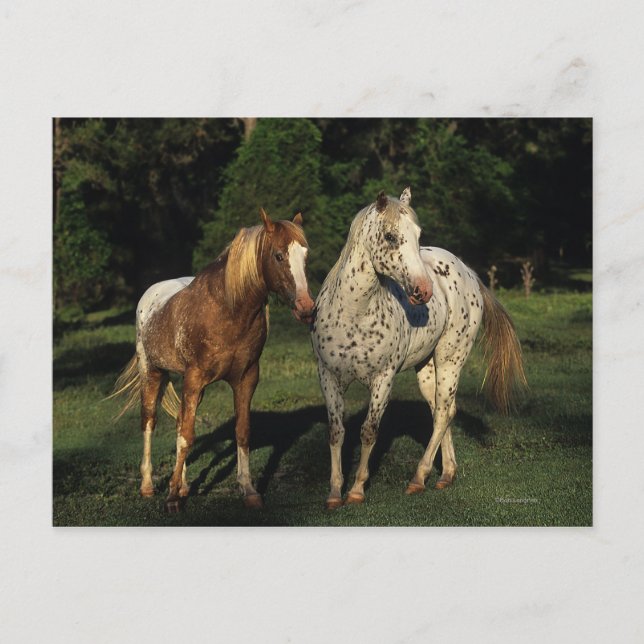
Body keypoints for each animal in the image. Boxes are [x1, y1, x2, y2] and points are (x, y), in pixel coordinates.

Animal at [110, 208, 315, 512]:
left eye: (305, 255)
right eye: (279, 256)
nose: (306, 308)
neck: (228, 310)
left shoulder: (246, 378)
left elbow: (241, 431)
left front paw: (248, 490)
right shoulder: (194, 378)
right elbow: (186, 436)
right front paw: (171, 498)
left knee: (179, 420)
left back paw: (182, 485)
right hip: (152, 372)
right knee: (149, 421)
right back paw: (148, 485)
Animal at [311, 188, 526, 509]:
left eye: (418, 234)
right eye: (390, 236)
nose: (423, 290)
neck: (353, 312)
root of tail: (468, 272)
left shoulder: (383, 380)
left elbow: (369, 431)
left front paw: (357, 489)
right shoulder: (329, 377)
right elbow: (336, 433)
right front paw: (335, 493)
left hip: (450, 361)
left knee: (443, 414)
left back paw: (418, 478)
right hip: (427, 369)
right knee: (442, 411)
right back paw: (446, 474)